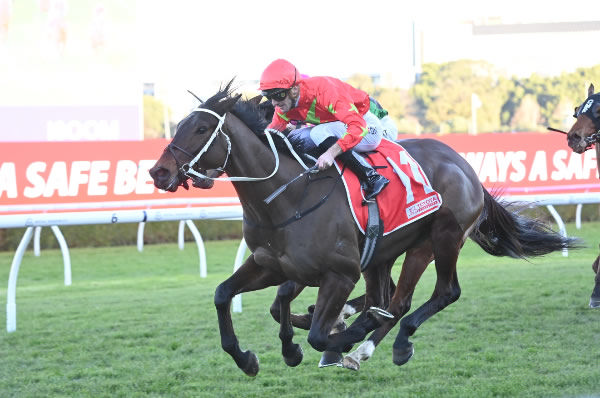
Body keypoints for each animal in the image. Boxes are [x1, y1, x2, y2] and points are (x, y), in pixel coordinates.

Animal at [150, 82, 580, 374]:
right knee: (391, 297)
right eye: (180, 125)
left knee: (434, 294)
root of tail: (464, 164)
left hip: (439, 239)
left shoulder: (340, 272)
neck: (285, 197)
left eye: (201, 130)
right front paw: (250, 358)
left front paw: (334, 336)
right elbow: (226, 295)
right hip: (386, 252)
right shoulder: (271, 264)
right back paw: (363, 340)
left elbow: (317, 330)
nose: (159, 172)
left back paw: (384, 342)